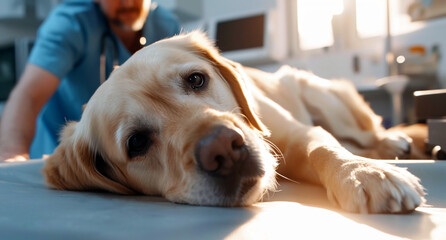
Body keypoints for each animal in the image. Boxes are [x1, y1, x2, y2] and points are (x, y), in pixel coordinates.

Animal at [42, 31, 426, 214]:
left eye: (197, 80)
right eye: (136, 142)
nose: (224, 150)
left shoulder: (299, 133)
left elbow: (324, 148)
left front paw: (364, 172)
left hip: (326, 103)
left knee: (367, 133)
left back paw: (391, 145)